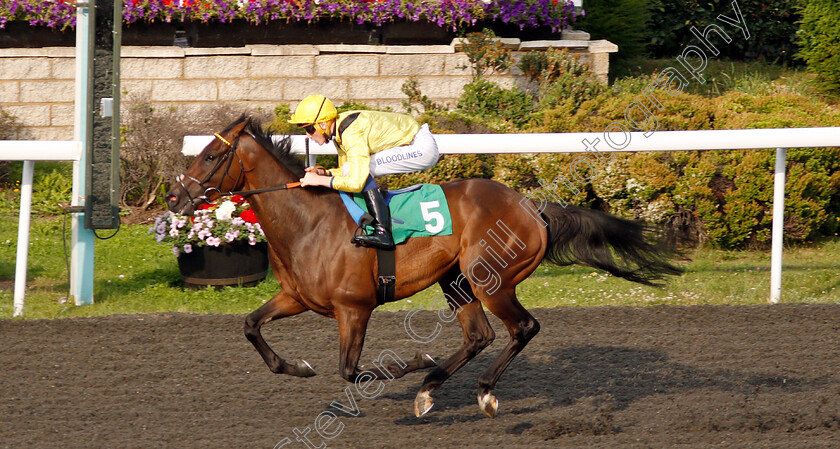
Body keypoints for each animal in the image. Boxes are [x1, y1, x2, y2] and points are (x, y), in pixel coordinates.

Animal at [164, 116, 684, 416]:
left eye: (212, 155)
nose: (172, 197)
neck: (307, 221)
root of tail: (533, 207)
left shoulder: (355, 308)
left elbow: (351, 369)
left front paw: (414, 362)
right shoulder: (296, 297)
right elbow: (252, 326)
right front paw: (298, 367)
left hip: (491, 280)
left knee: (522, 328)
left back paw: (481, 390)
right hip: (457, 280)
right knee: (479, 335)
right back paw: (430, 389)